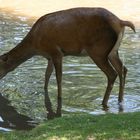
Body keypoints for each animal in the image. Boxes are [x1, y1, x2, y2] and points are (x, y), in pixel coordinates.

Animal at [0, 7, 136, 119]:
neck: (35, 45)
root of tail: (120, 22)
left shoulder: (56, 52)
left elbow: (58, 77)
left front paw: (59, 99)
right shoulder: (49, 57)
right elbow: (47, 74)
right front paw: (44, 91)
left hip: (98, 51)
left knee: (112, 73)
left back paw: (104, 103)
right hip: (113, 51)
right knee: (123, 69)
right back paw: (120, 100)